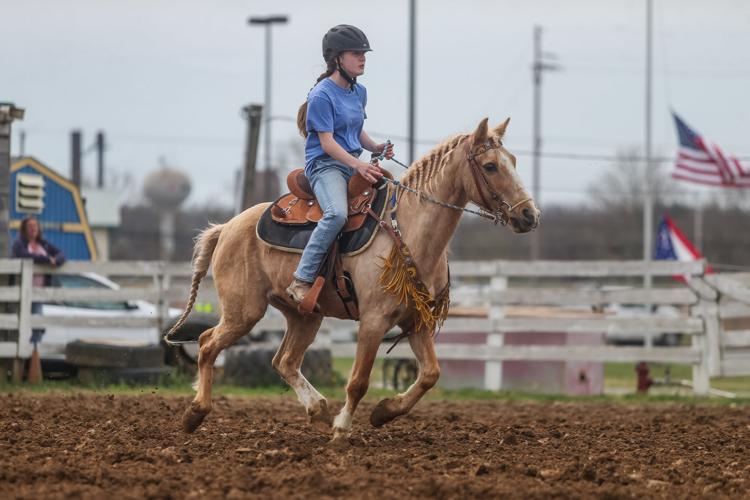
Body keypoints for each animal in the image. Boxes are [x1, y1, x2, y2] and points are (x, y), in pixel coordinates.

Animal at [167, 117, 540, 441]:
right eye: (490, 166)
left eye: (513, 160)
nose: (529, 215)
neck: (408, 231)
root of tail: (227, 227)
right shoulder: (373, 321)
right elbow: (358, 381)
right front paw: (342, 430)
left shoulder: (416, 321)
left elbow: (430, 375)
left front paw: (384, 412)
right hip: (243, 311)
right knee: (207, 343)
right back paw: (195, 413)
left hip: (304, 316)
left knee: (283, 361)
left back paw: (318, 409)